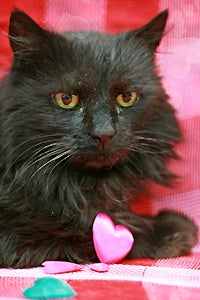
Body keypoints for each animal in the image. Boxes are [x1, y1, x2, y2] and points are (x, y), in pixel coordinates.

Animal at [0, 8, 197, 268]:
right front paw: (172, 228)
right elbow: (93, 229)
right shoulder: (18, 239)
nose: (104, 133)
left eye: (127, 97)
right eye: (66, 99)